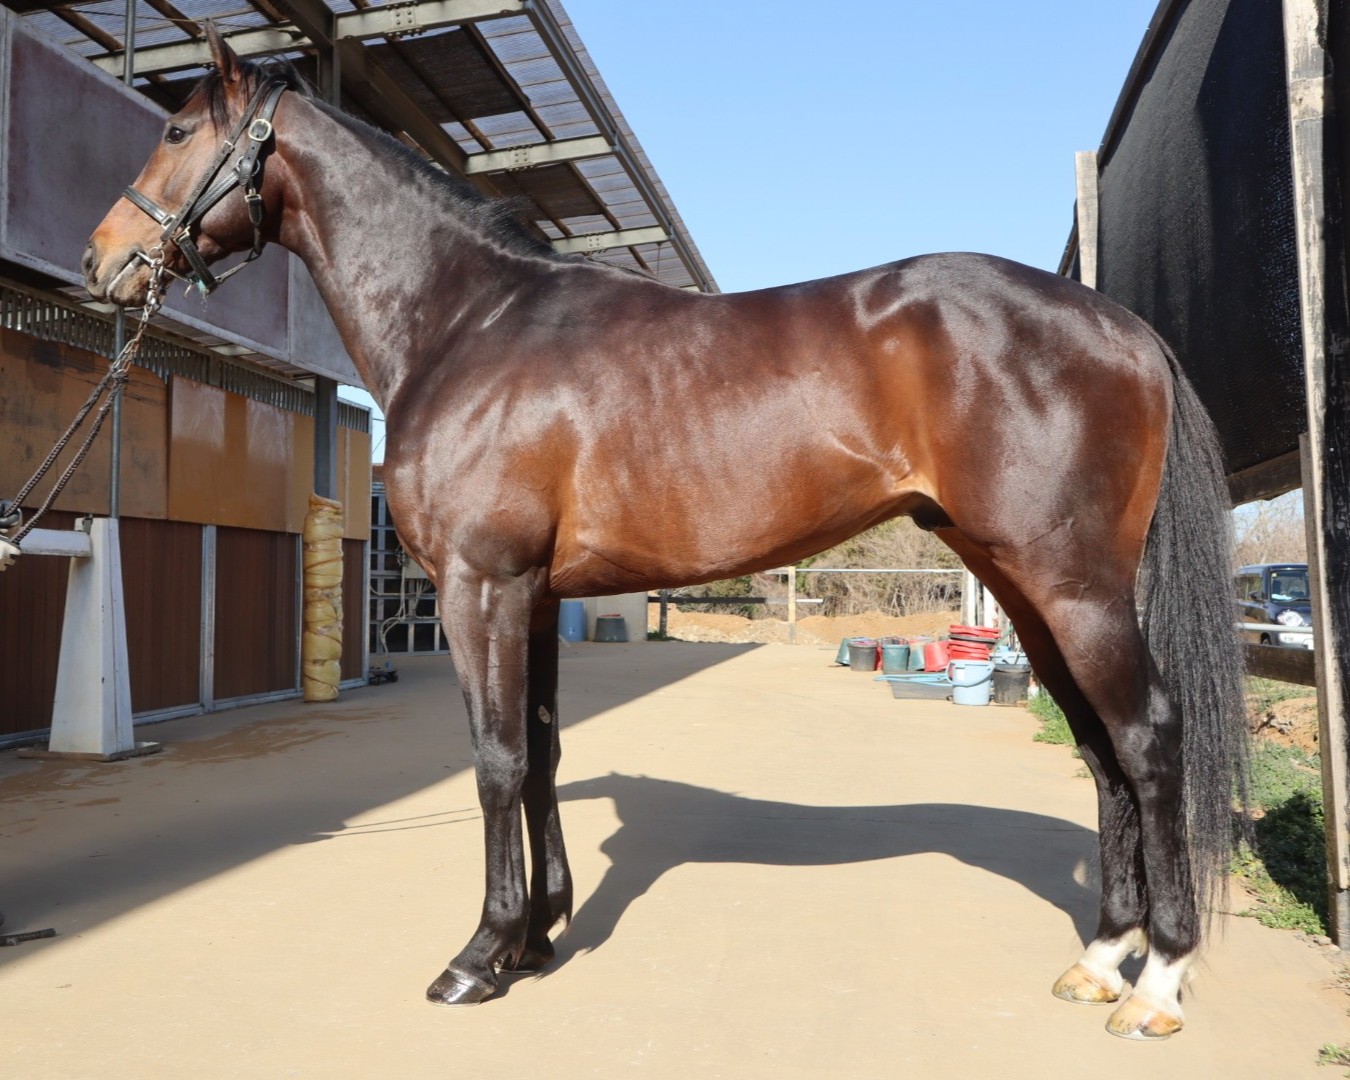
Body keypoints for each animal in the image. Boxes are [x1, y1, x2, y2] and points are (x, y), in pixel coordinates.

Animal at [83, 27, 1247, 1040]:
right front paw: (539, 937)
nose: (104, 261)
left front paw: (480, 956)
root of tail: (1123, 327)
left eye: (176, 130)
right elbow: (543, 753)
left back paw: (1159, 982)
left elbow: (495, 759)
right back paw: (1101, 959)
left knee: (1148, 737)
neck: (469, 324)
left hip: (1073, 584)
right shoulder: (533, 596)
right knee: (1098, 746)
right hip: (1020, 582)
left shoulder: (480, 586)